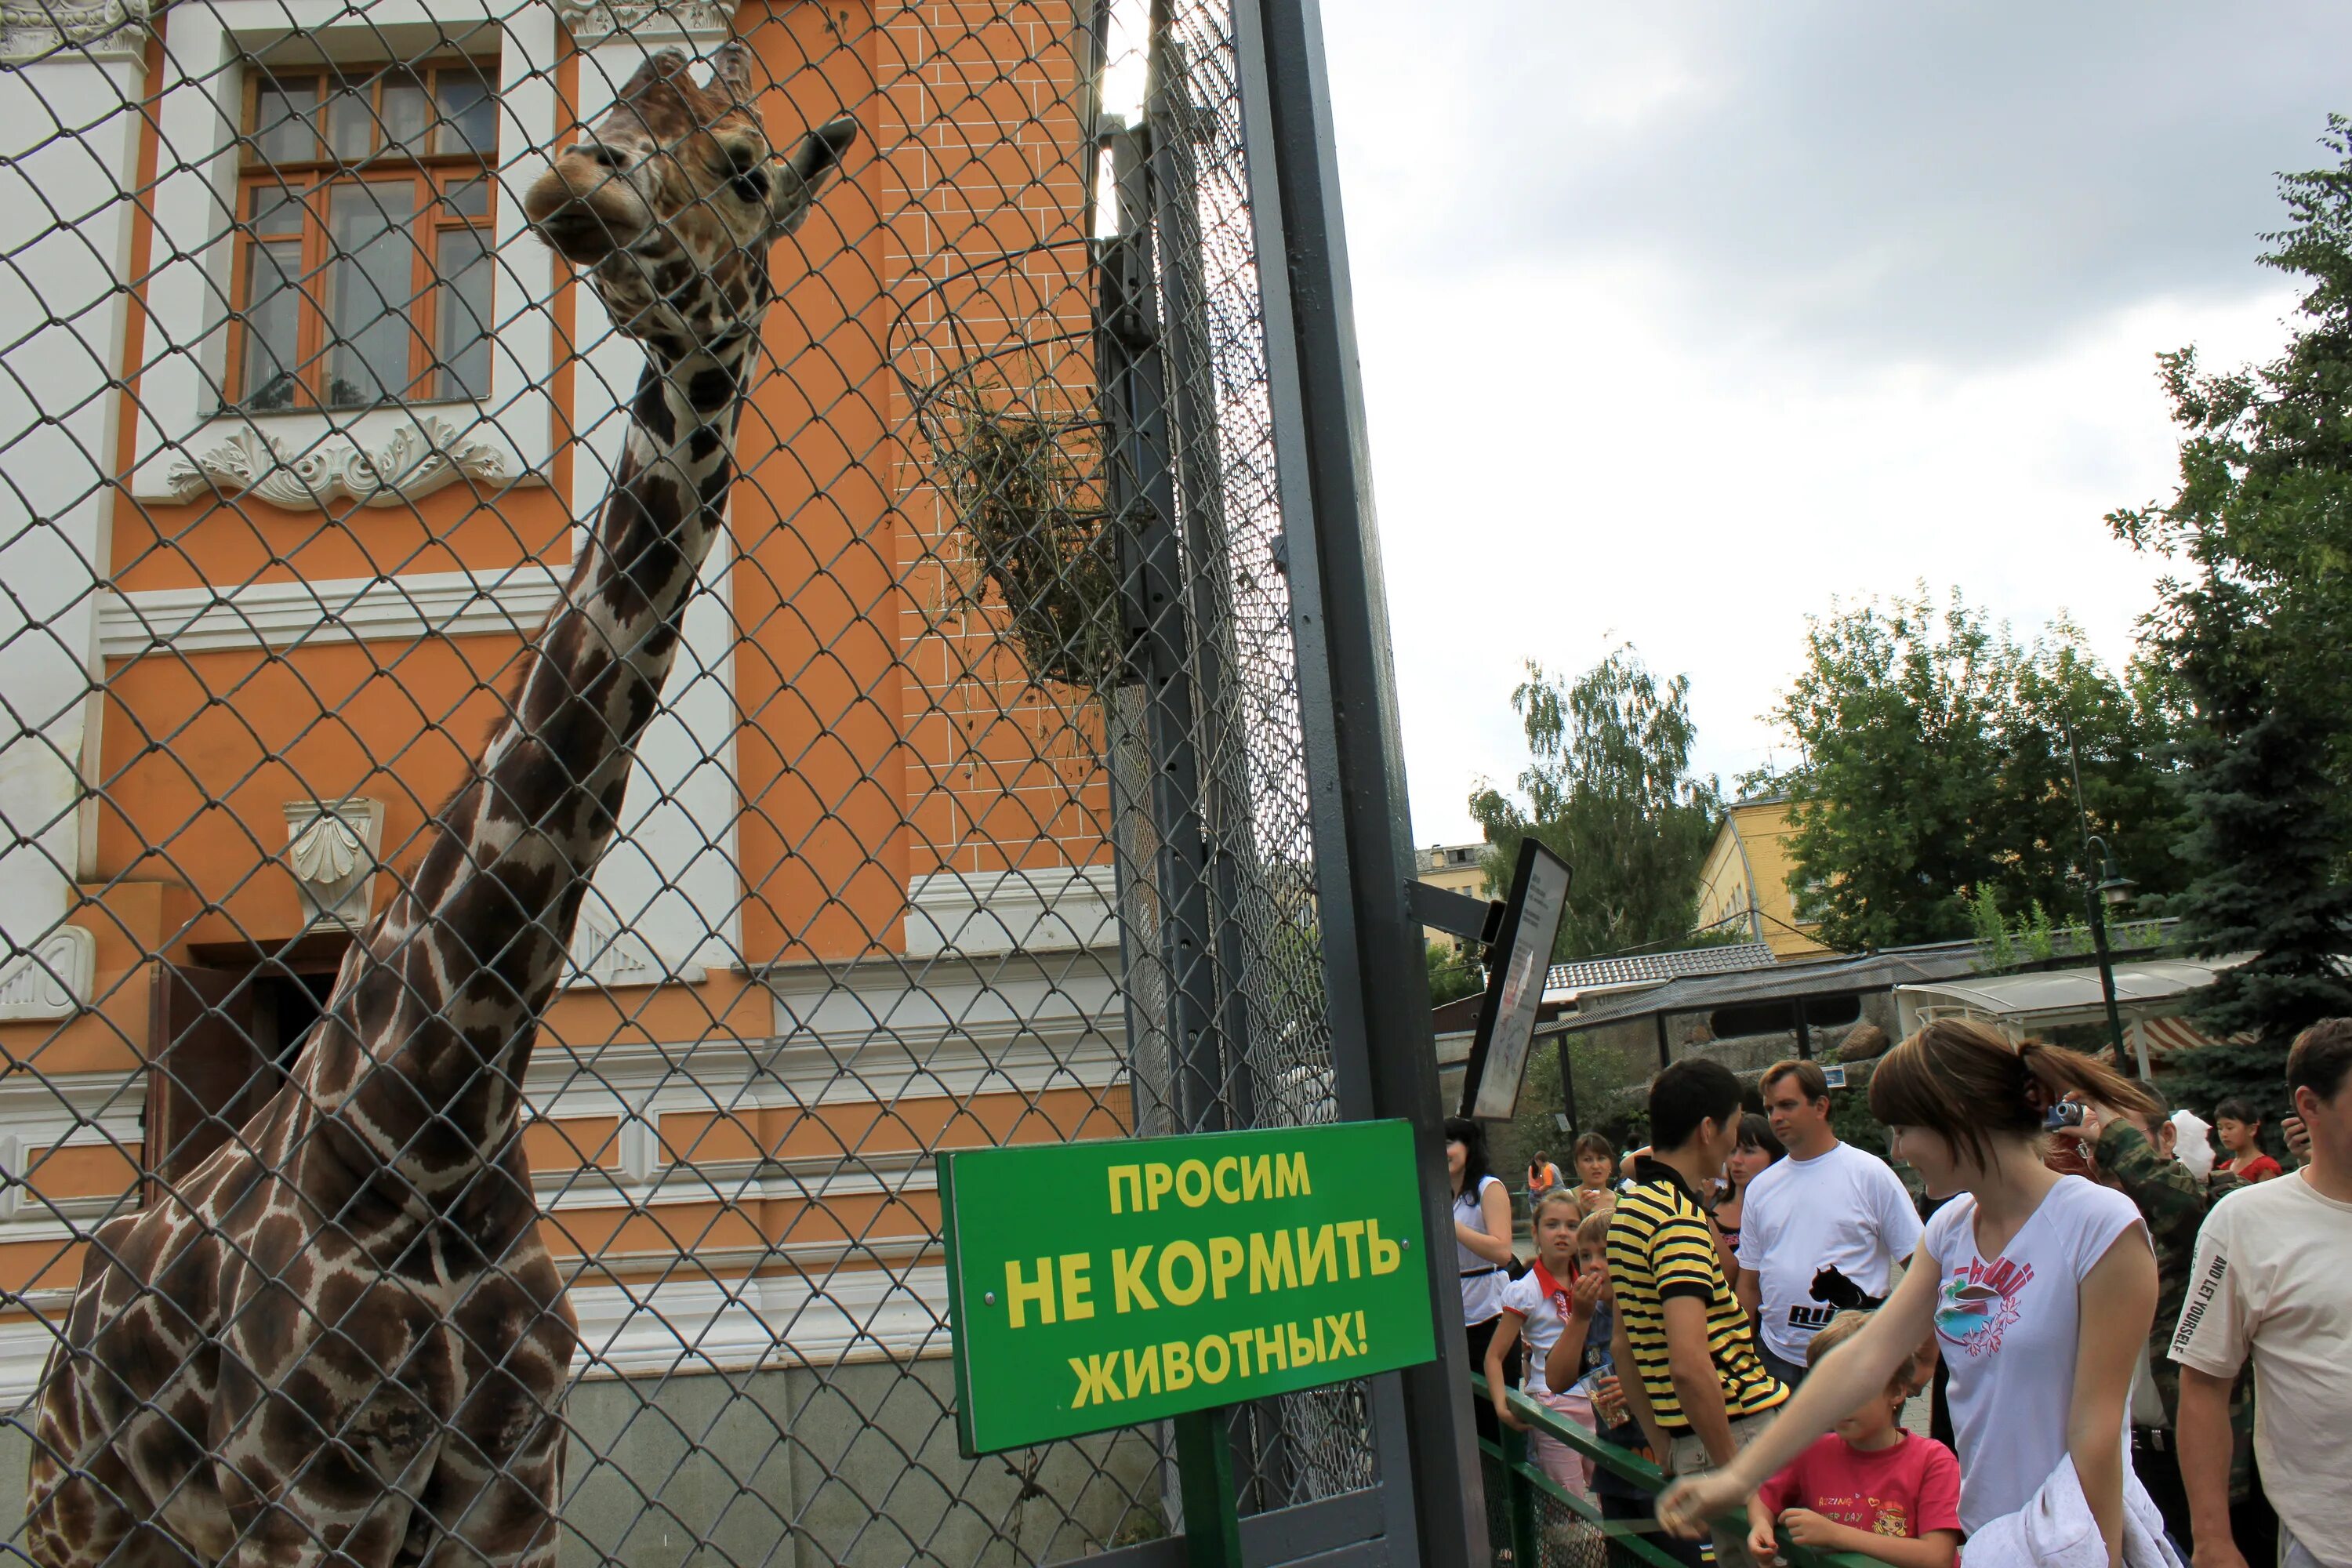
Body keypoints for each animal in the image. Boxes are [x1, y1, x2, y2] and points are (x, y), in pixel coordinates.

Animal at [25, 42, 856, 1561]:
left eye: (746, 166)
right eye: (616, 113)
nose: (576, 179)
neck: (436, 1129)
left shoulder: (504, 1493)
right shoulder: (311, 1493)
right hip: (85, 1516)